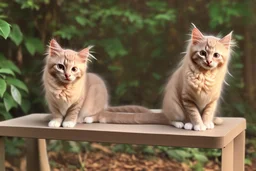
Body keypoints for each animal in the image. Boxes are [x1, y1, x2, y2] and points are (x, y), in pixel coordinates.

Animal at [98, 25, 234, 131]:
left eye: (216, 55)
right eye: (202, 53)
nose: (208, 61)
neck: (205, 76)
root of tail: (164, 112)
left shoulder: (212, 100)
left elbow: (207, 113)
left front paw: (206, 123)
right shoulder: (187, 98)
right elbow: (193, 114)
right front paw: (197, 125)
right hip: (174, 106)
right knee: (171, 120)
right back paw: (181, 124)